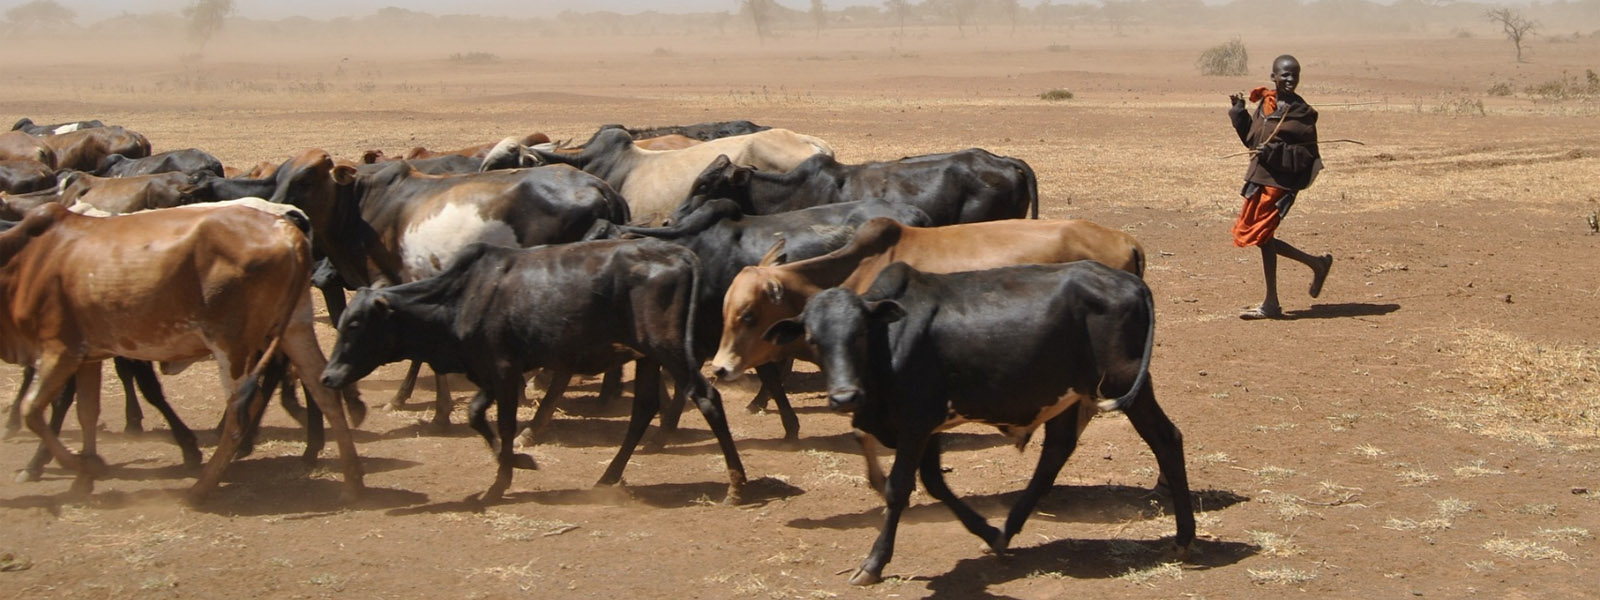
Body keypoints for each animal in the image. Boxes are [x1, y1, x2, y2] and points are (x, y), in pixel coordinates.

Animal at [0, 202, 364, 500]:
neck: (31, 257)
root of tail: (286, 230)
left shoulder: (61, 348)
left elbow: (34, 410)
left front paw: (79, 467)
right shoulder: (89, 354)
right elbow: (86, 411)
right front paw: (84, 476)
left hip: (231, 344)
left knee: (242, 408)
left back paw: (201, 488)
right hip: (294, 328)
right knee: (322, 390)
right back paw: (352, 481)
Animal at [321, 240, 746, 503]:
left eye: (355, 324)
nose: (328, 377)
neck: (462, 294)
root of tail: (679, 254)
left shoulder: (504, 371)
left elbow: (505, 425)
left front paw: (500, 482)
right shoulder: (491, 373)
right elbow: (476, 414)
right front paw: (516, 463)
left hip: (668, 350)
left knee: (707, 398)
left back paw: (737, 485)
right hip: (647, 357)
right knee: (643, 409)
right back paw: (607, 477)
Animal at [764, 262, 1192, 585]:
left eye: (860, 334)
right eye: (813, 339)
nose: (844, 397)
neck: (891, 344)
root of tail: (1131, 281)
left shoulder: (915, 423)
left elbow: (898, 489)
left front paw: (873, 563)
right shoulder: (929, 427)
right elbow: (935, 484)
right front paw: (987, 531)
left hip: (1127, 385)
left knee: (1167, 439)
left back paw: (1185, 537)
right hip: (1069, 394)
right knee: (1056, 452)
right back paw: (1007, 530)